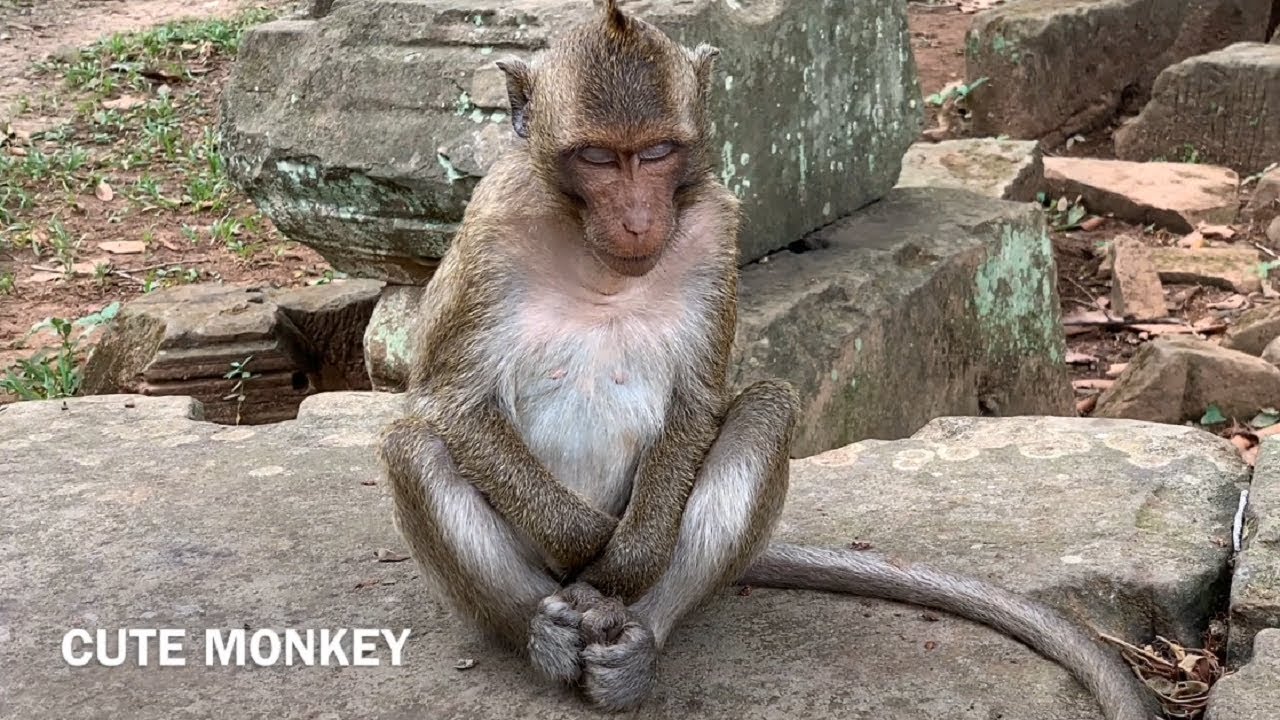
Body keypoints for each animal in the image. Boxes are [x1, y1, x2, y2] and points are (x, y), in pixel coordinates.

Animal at [376, 2, 1159, 719]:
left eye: (656, 153)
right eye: (597, 158)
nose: (638, 219)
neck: (597, 258)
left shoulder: (713, 227)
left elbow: (700, 402)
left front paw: (628, 561)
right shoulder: (492, 223)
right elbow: (448, 401)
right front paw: (591, 547)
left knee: (765, 408)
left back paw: (637, 637)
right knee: (413, 445)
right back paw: (542, 631)